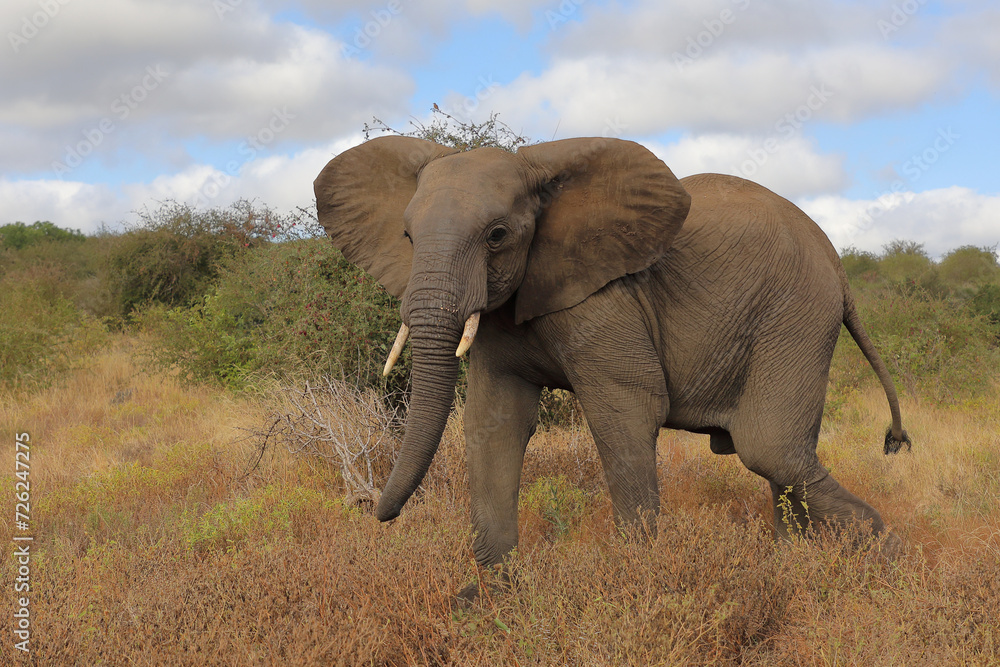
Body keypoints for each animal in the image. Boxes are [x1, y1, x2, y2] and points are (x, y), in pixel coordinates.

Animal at [316, 134, 912, 576]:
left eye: (497, 235)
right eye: (407, 236)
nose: (375, 512)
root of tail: (838, 265)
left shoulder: (607, 299)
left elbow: (624, 414)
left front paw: (638, 581)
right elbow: (493, 421)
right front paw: (489, 603)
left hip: (796, 315)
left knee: (771, 449)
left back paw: (884, 551)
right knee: (779, 460)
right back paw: (794, 566)